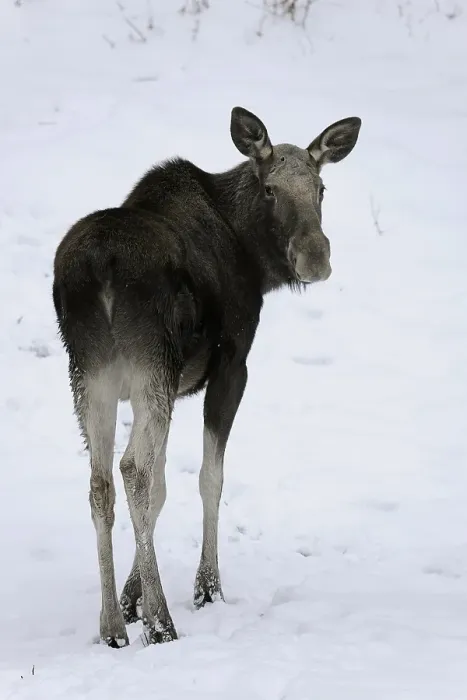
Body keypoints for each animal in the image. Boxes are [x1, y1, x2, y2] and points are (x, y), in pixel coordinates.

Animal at [52, 106, 361, 648]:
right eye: (269, 189)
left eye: (321, 188)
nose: (315, 257)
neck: (252, 259)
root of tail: (99, 268)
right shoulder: (231, 366)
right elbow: (206, 478)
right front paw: (205, 587)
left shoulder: (169, 386)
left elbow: (160, 490)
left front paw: (131, 599)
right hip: (148, 363)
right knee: (131, 470)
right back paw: (161, 623)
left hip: (90, 374)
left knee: (100, 481)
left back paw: (111, 624)